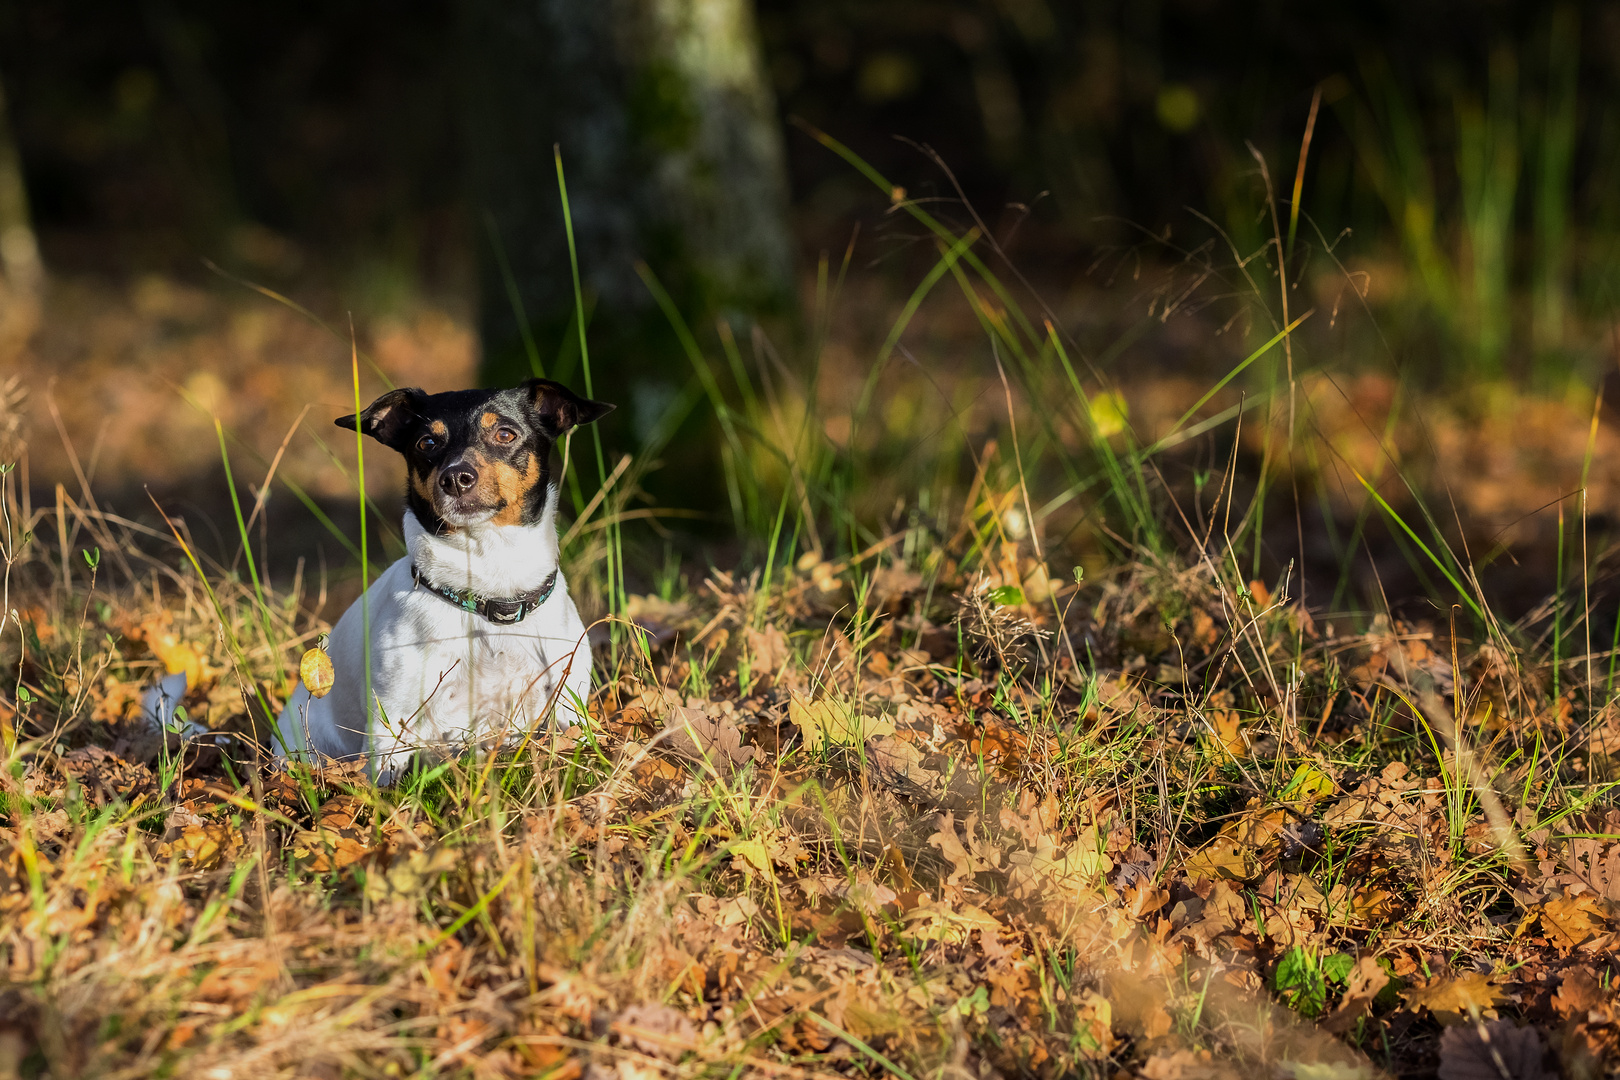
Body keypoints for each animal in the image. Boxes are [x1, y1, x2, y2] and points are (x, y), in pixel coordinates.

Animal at [275, 375, 609, 780]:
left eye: (505, 434)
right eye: (427, 443)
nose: (455, 478)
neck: (488, 590)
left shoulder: (565, 700)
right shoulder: (393, 719)